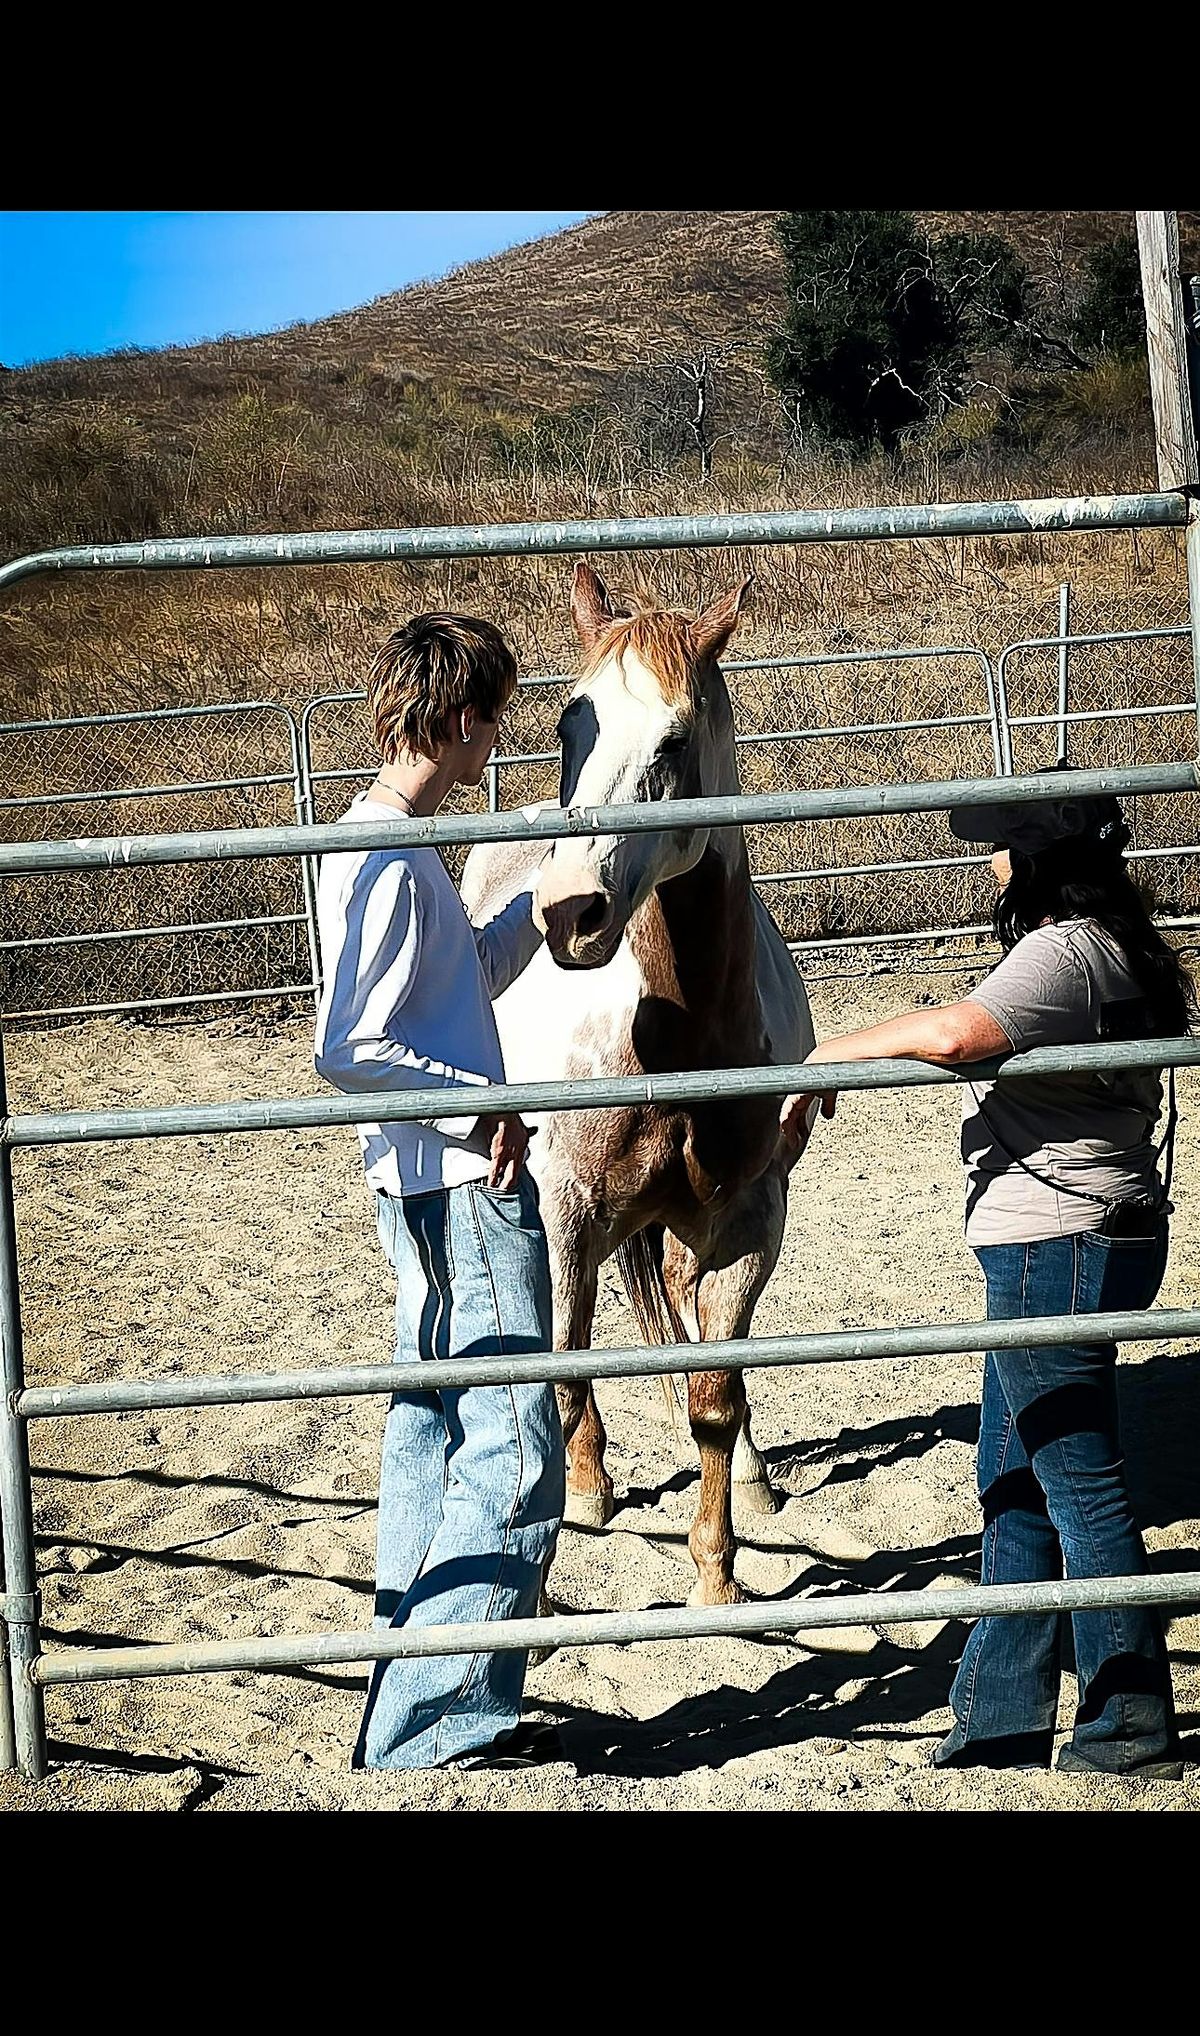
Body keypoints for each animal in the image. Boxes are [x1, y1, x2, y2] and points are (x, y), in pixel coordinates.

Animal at [458, 561, 814, 1604]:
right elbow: (560, 1378)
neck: (677, 1037)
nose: (567, 911)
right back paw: (591, 1483)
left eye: (675, 738)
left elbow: (713, 1395)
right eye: (567, 725)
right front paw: (558, 1537)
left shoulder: (748, 1224)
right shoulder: (567, 1211)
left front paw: (717, 1575)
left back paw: (755, 1476)